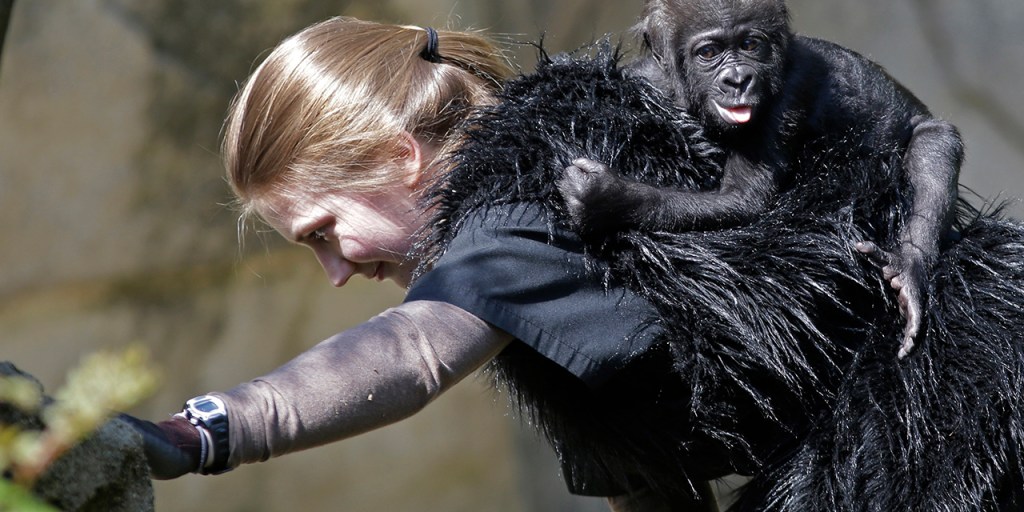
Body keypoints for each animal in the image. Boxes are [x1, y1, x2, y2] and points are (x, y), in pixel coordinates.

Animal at [556, 0, 964, 358]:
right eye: (709, 52)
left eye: (750, 45)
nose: (738, 80)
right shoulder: (647, 76)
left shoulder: (787, 92)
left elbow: (744, 200)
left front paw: (606, 197)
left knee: (934, 141)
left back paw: (909, 268)